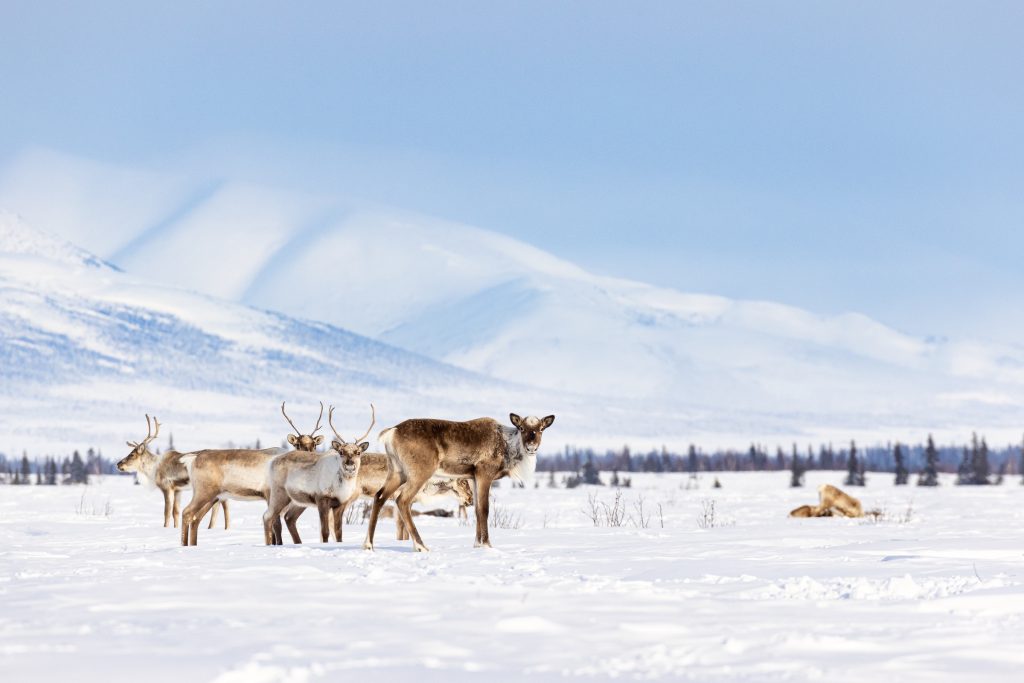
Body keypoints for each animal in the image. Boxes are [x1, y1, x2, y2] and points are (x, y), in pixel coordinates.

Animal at [178, 402, 325, 546]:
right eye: (298, 444)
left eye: (314, 445)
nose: (309, 455)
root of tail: (194, 457)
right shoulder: (269, 494)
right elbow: (276, 526)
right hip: (203, 491)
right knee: (186, 513)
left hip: (214, 496)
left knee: (196, 519)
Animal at [262, 404, 374, 545]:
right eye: (341, 452)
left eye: (358, 452)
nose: (350, 465)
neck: (341, 485)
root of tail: (272, 462)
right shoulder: (322, 499)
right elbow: (325, 531)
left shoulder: (340, 504)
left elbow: (339, 533)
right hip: (279, 494)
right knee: (268, 517)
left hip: (296, 500)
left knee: (285, 518)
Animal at [364, 412, 555, 552]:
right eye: (521, 427)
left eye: (541, 428)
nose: (531, 447)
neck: (508, 447)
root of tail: (391, 432)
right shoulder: (484, 473)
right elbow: (484, 510)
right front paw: (487, 544)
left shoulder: (473, 477)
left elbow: (477, 510)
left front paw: (477, 544)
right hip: (419, 472)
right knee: (402, 500)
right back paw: (420, 546)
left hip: (397, 471)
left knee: (379, 496)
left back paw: (369, 545)